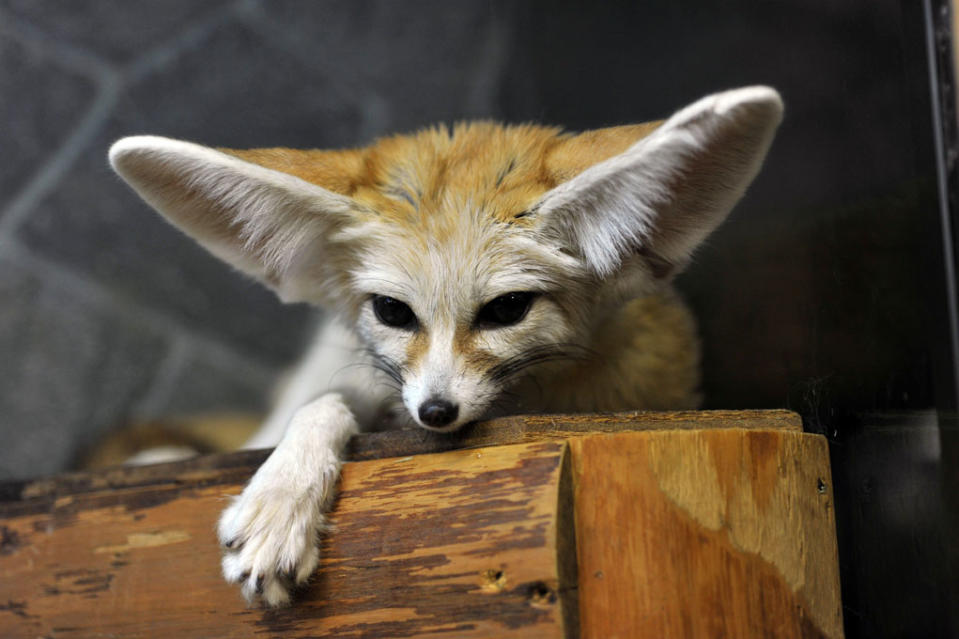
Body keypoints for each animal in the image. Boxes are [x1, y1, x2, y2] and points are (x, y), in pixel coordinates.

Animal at [110, 87, 788, 608]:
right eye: (392, 311)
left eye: (507, 309)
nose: (435, 413)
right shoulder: (378, 386)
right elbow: (326, 404)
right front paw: (281, 499)